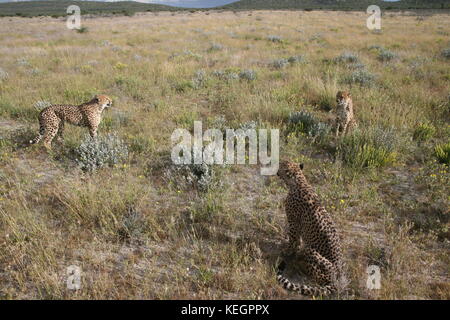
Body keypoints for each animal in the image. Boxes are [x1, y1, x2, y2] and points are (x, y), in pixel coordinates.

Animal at [274, 161, 344, 296]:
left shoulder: (294, 222)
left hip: (312, 252)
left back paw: (301, 264)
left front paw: (287, 251)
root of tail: (336, 279)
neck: (300, 181)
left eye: (282, 165)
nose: (276, 170)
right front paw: (294, 249)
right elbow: (297, 240)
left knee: (318, 277)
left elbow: (293, 239)